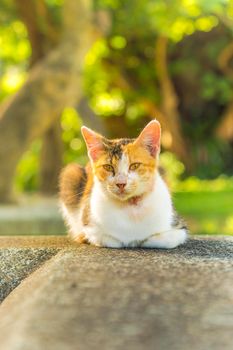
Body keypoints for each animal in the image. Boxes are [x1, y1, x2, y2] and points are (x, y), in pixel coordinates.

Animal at [59, 120, 187, 249]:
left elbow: (163, 239)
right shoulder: (89, 226)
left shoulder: (179, 228)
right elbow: (108, 239)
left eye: (135, 165)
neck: (130, 206)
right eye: (108, 167)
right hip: (71, 173)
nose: (121, 183)